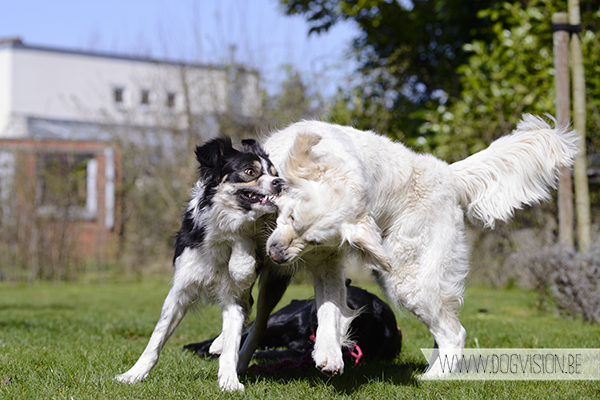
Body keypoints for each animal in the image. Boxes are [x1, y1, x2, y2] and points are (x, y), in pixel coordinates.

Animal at [118, 137, 288, 390]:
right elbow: (156, 339)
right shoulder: (181, 289)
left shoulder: (236, 296)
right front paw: (134, 374)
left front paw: (229, 381)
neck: (223, 230)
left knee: (257, 323)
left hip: (273, 282)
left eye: (275, 173)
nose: (280, 183)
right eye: (250, 171)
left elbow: (232, 342)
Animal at [260, 114, 580, 376]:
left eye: (313, 239)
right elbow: (329, 308)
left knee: (455, 333)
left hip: (410, 281)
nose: (276, 255)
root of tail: (450, 174)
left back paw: (433, 378)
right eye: (290, 216)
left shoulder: (327, 258)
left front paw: (328, 355)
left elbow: (328, 311)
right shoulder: (327, 262)